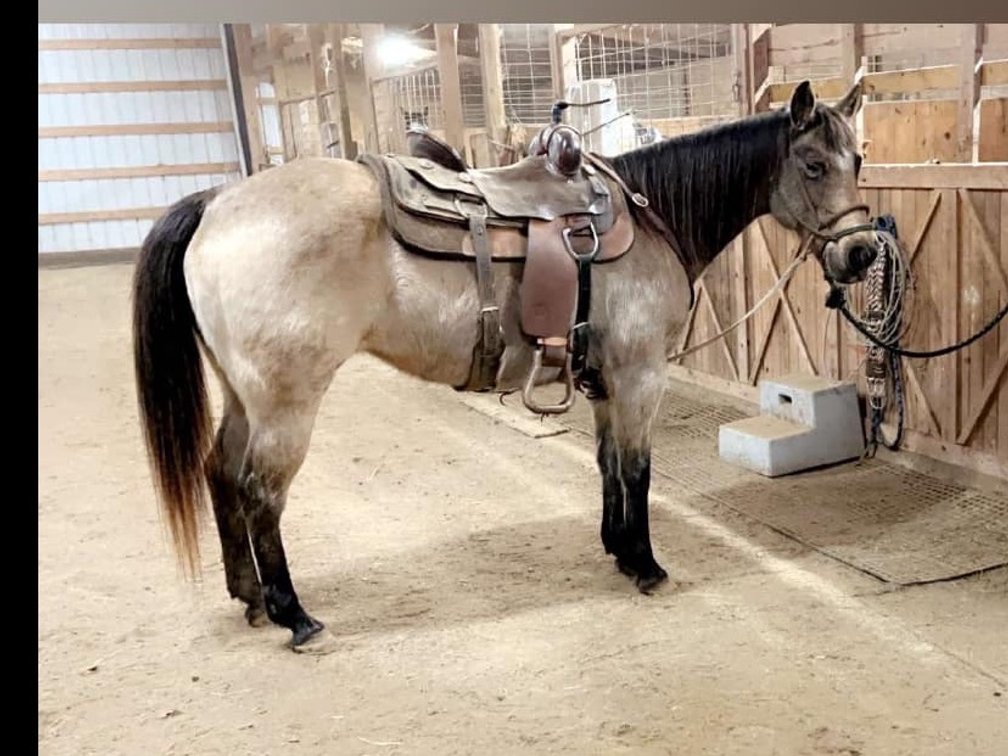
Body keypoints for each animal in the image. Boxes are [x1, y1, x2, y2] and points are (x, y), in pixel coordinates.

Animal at [133, 81, 877, 649]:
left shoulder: (605, 378)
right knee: (260, 492)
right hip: (287, 404)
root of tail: (217, 203)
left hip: (244, 396)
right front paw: (645, 565)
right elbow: (637, 469)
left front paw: (616, 548)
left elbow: (608, 464)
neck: (652, 216)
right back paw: (294, 615)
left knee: (219, 473)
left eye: (860, 158)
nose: (863, 252)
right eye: (814, 166)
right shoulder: (640, 375)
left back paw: (249, 595)